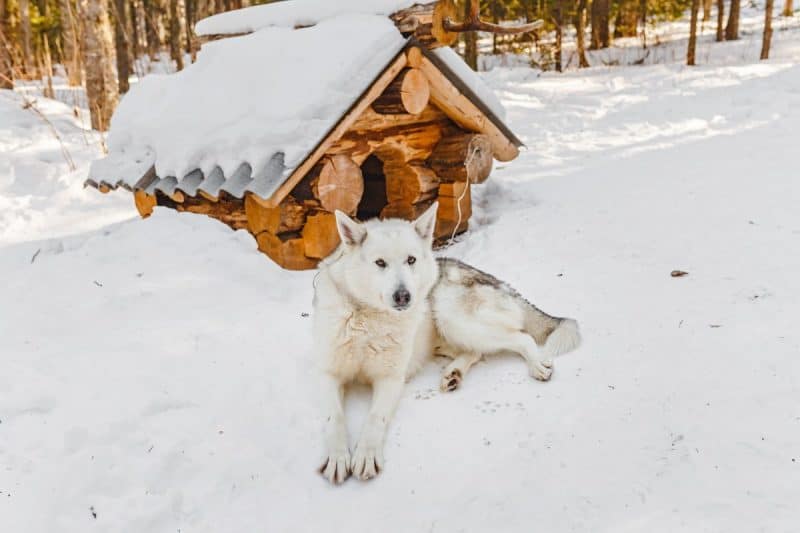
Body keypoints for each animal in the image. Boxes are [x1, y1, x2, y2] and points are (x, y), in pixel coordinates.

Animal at [312, 203, 580, 482]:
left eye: (411, 260)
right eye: (380, 263)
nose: (403, 296)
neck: (368, 316)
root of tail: (499, 282)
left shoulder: (390, 379)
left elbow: (375, 418)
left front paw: (365, 455)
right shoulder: (327, 374)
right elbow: (334, 418)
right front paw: (337, 457)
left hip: (452, 316)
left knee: (521, 337)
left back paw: (535, 365)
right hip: (444, 333)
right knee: (475, 352)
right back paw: (454, 373)